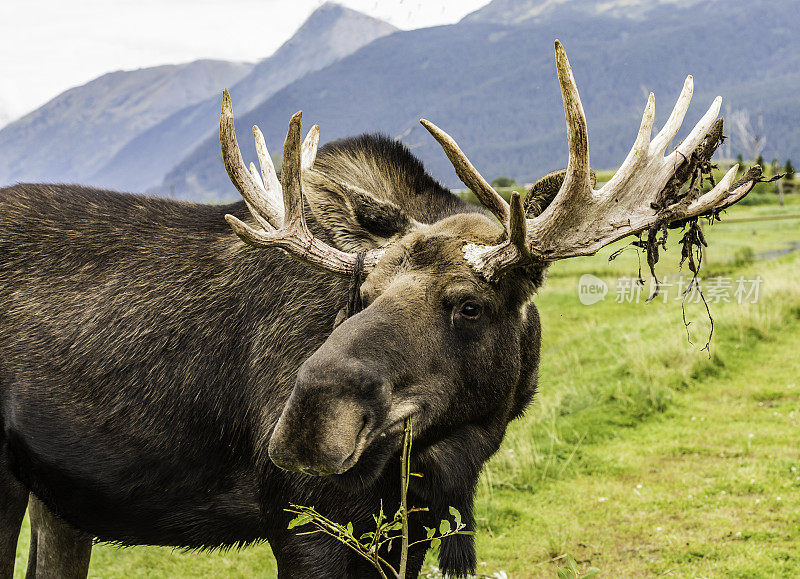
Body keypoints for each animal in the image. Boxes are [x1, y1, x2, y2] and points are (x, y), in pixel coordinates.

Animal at [0, 42, 756, 579]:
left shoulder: (413, 529)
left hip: (59, 499)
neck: (454, 447)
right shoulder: (308, 525)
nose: (305, 425)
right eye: (359, 295)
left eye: (470, 305)